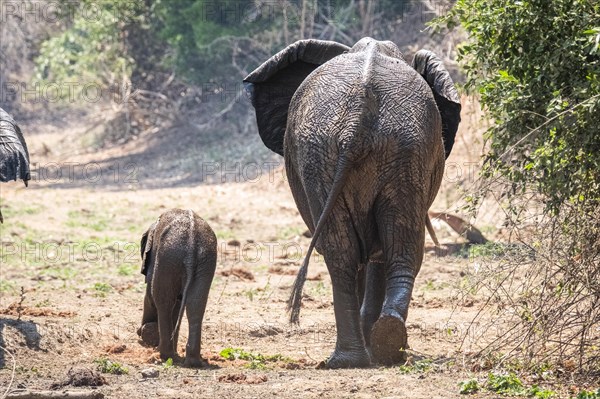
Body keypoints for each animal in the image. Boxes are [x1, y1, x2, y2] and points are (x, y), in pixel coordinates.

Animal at [137, 209, 217, 368]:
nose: (138, 332)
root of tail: (192, 243)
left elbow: (150, 294)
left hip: (167, 257)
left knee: (163, 300)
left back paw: (164, 355)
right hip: (205, 261)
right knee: (196, 304)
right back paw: (192, 361)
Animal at [244, 37, 460, 368]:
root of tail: (358, 117)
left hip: (362, 154)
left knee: (352, 251)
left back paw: (356, 355)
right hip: (380, 152)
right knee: (392, 248)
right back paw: (382, 347)